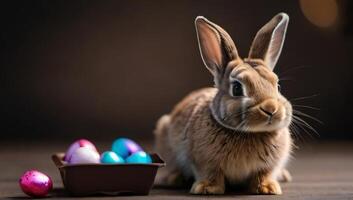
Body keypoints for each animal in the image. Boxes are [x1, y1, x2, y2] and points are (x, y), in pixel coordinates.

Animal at [153, 12, 292, 194]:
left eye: (277, 86)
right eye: (237, 88)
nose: (271, 109)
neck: (249, 133)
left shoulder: (268, 166)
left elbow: (263, 174)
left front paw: (268, 188)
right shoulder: (204, 162)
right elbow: (211, 173)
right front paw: (206, 189)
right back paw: (174, 179)